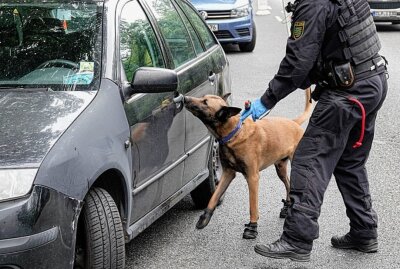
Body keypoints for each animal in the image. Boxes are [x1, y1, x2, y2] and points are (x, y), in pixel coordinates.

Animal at [184, 89, 312, 238]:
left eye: (205, 102)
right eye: (203, 97)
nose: (185, 98)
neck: (234, 133)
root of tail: (293, 123)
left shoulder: (252, 177)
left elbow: (252, 206)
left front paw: (252, 227)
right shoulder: (228, 174)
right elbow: (214, 197)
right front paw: (205, 217)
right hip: (280, 168)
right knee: (288, 184)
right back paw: (287, 207)